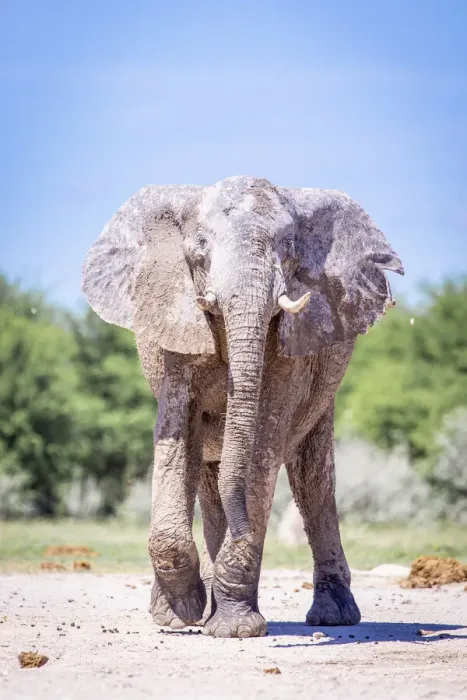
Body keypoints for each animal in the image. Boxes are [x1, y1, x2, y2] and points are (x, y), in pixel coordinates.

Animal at [82, 175, 403, 638]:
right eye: (199, 246)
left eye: (289, 247)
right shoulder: (174, 332)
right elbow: (178, 435)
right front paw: (181, 613)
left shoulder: (293, 344)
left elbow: (261, 447)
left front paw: (234, 628)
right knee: (209, 476)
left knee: (312, 480)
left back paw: (333, 617)